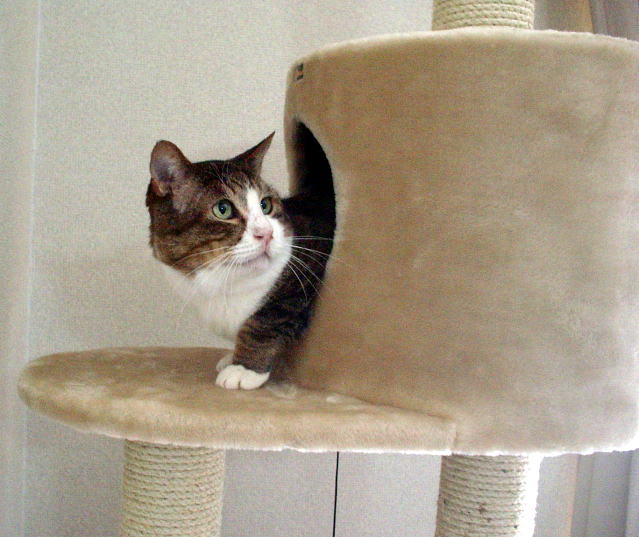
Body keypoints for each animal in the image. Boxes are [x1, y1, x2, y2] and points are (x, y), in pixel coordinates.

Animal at [146, 132, 335, 390]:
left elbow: (265, 319)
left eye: (265, 205)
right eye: (223, 209)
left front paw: (244, 367)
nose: (267, 233)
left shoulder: (306, 268)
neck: (225, 282)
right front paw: (232, 357)